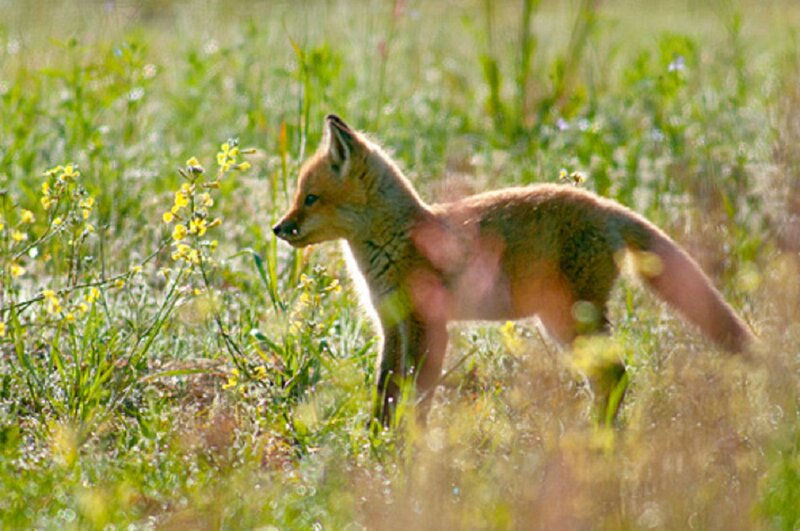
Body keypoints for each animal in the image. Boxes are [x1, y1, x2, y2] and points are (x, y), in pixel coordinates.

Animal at [273, 114, 755, 425]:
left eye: (311, 198)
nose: (278, 228)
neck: (395, 241)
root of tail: (604, 205)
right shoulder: (393, 324)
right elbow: (385, 391)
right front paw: (376, 441)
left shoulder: (429, 324)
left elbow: (417, 395)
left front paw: (407, 449)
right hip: (564, 322)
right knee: (611, 378)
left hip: (568, 320)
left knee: (616, 375)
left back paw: (596, 442)